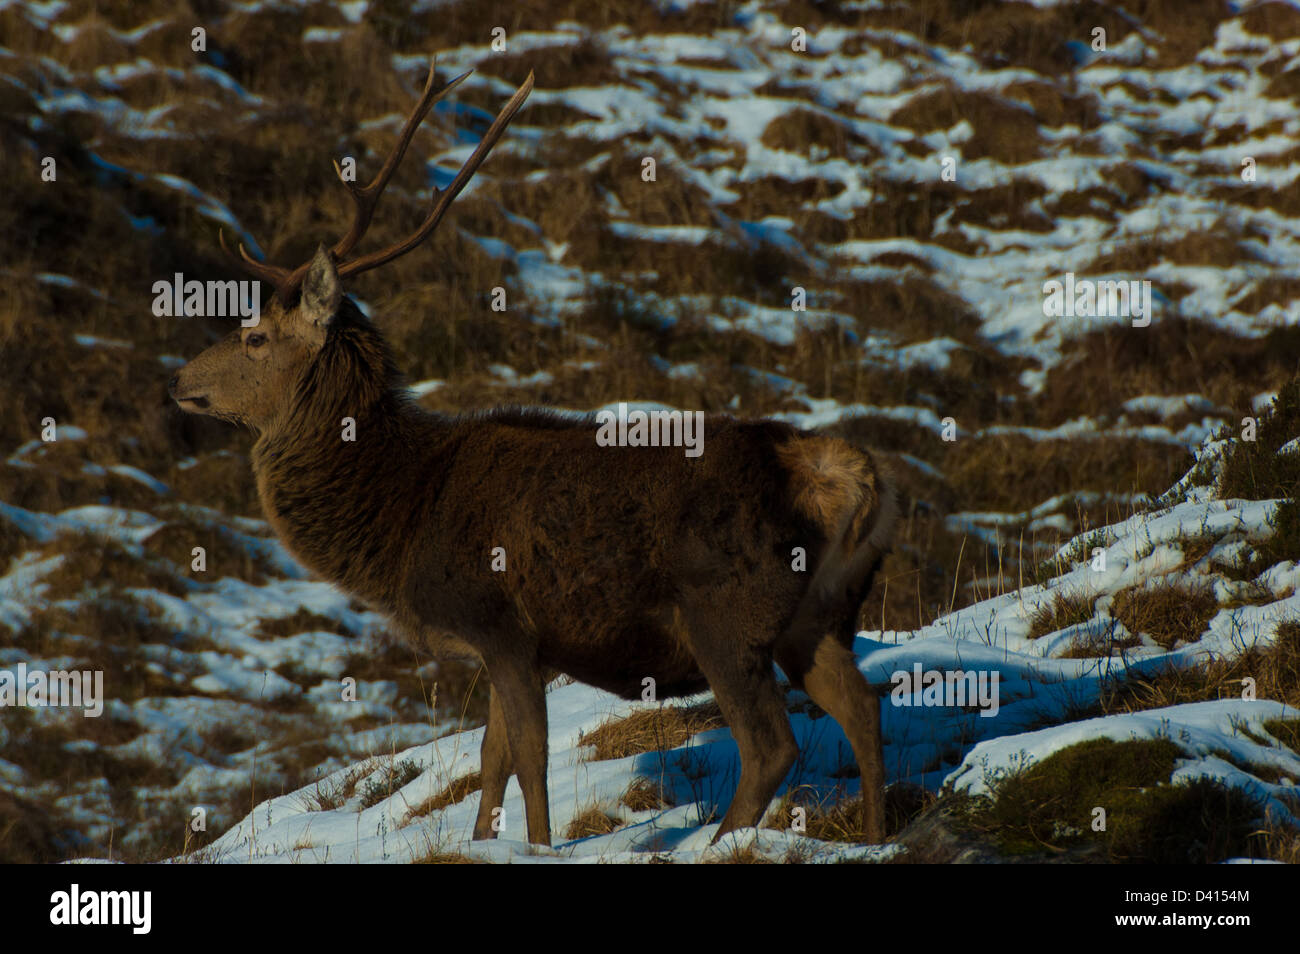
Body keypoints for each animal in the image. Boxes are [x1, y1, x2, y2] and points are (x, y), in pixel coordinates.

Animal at [168, 60, 899, 848]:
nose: (177, 381)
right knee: (862, 708)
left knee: (771, 745)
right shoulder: (506, 649)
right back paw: (875, 835)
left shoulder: (502, 624)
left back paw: (720, 845)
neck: (402, 513)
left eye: (255, 337)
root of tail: (840, 477)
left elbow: (528, 760)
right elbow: (492, 762)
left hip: (726, 611)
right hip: (818, 616)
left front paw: (540, 845)